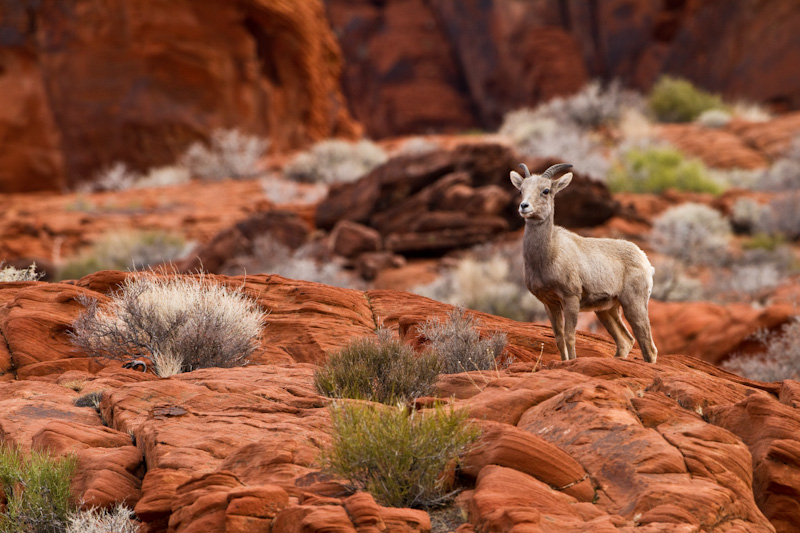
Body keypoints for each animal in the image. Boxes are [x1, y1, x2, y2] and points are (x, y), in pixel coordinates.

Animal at [512, 162, 656, 362]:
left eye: (546, 190)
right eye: (521, 190)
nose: (524, 206)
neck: (549, 254)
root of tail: (645, 260)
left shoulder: (571, 299)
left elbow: (570, 336)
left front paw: (572, 362)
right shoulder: (550, 303)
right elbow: (559, 338)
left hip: (634, 304)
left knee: (648, 346)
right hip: (607, 310)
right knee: (625, 341)